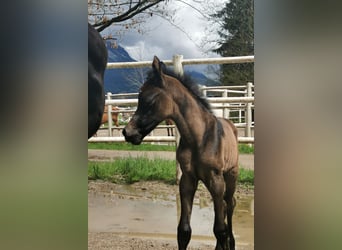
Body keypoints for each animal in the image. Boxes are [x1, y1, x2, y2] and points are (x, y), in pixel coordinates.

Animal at [122, 55, 238, 249]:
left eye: (149, 99)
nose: (128, 133)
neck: (198, 138)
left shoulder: (215, 179)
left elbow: (220, 230)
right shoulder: (187, 179)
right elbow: (184, 231)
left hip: (230, 175)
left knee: (229, 205)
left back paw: (232, 241)